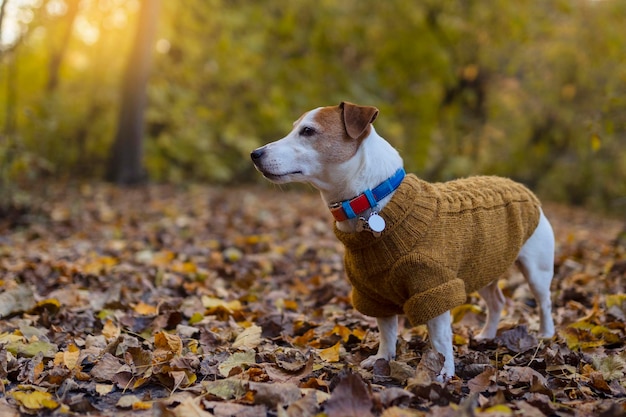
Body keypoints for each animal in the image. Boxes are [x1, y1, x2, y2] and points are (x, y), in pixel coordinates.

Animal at [251, 101, 552, 380]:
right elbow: (387, 331)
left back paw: (546, 335)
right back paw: (487, 334)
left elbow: (440, 337)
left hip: (536, 270)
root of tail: (519, 186)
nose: (255, 154)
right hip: (484, 266)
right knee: (497, 301)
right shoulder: (373, 292)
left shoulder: (433, 286)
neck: (375, 199)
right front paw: (382, 359)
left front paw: (442, 371)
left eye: (308, 131)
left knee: (543, 302)